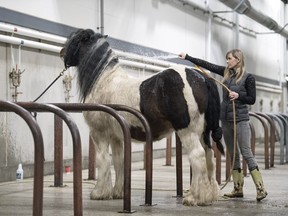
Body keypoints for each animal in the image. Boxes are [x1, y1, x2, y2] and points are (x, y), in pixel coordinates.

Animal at [60, 28, 224, 206]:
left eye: (75, 39)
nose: (62, 53)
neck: (104, 81)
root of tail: (202, 78)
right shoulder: (117, 137)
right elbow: (118, 161)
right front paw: (118, 192)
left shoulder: (99, 134)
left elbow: (102, 160)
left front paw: (99, 193)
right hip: (203, 133)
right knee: (209, 156)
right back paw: (209, 195)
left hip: (188, 131)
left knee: (198, 156)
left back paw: (194, 197)